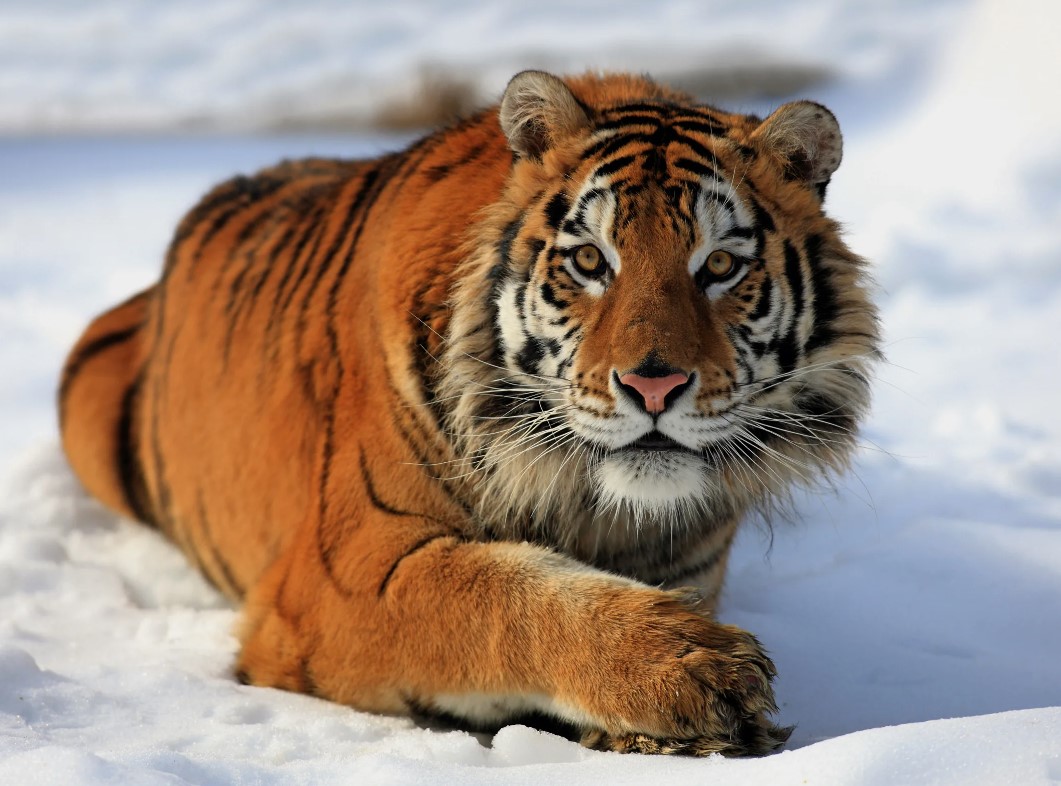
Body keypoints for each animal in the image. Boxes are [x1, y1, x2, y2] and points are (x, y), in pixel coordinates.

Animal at [58, 70, 878, 757]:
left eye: (720, 266)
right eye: (590, 261)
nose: (653, 386)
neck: (596, 508)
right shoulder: (346, 577)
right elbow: (503, 594)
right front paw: (695, 670)